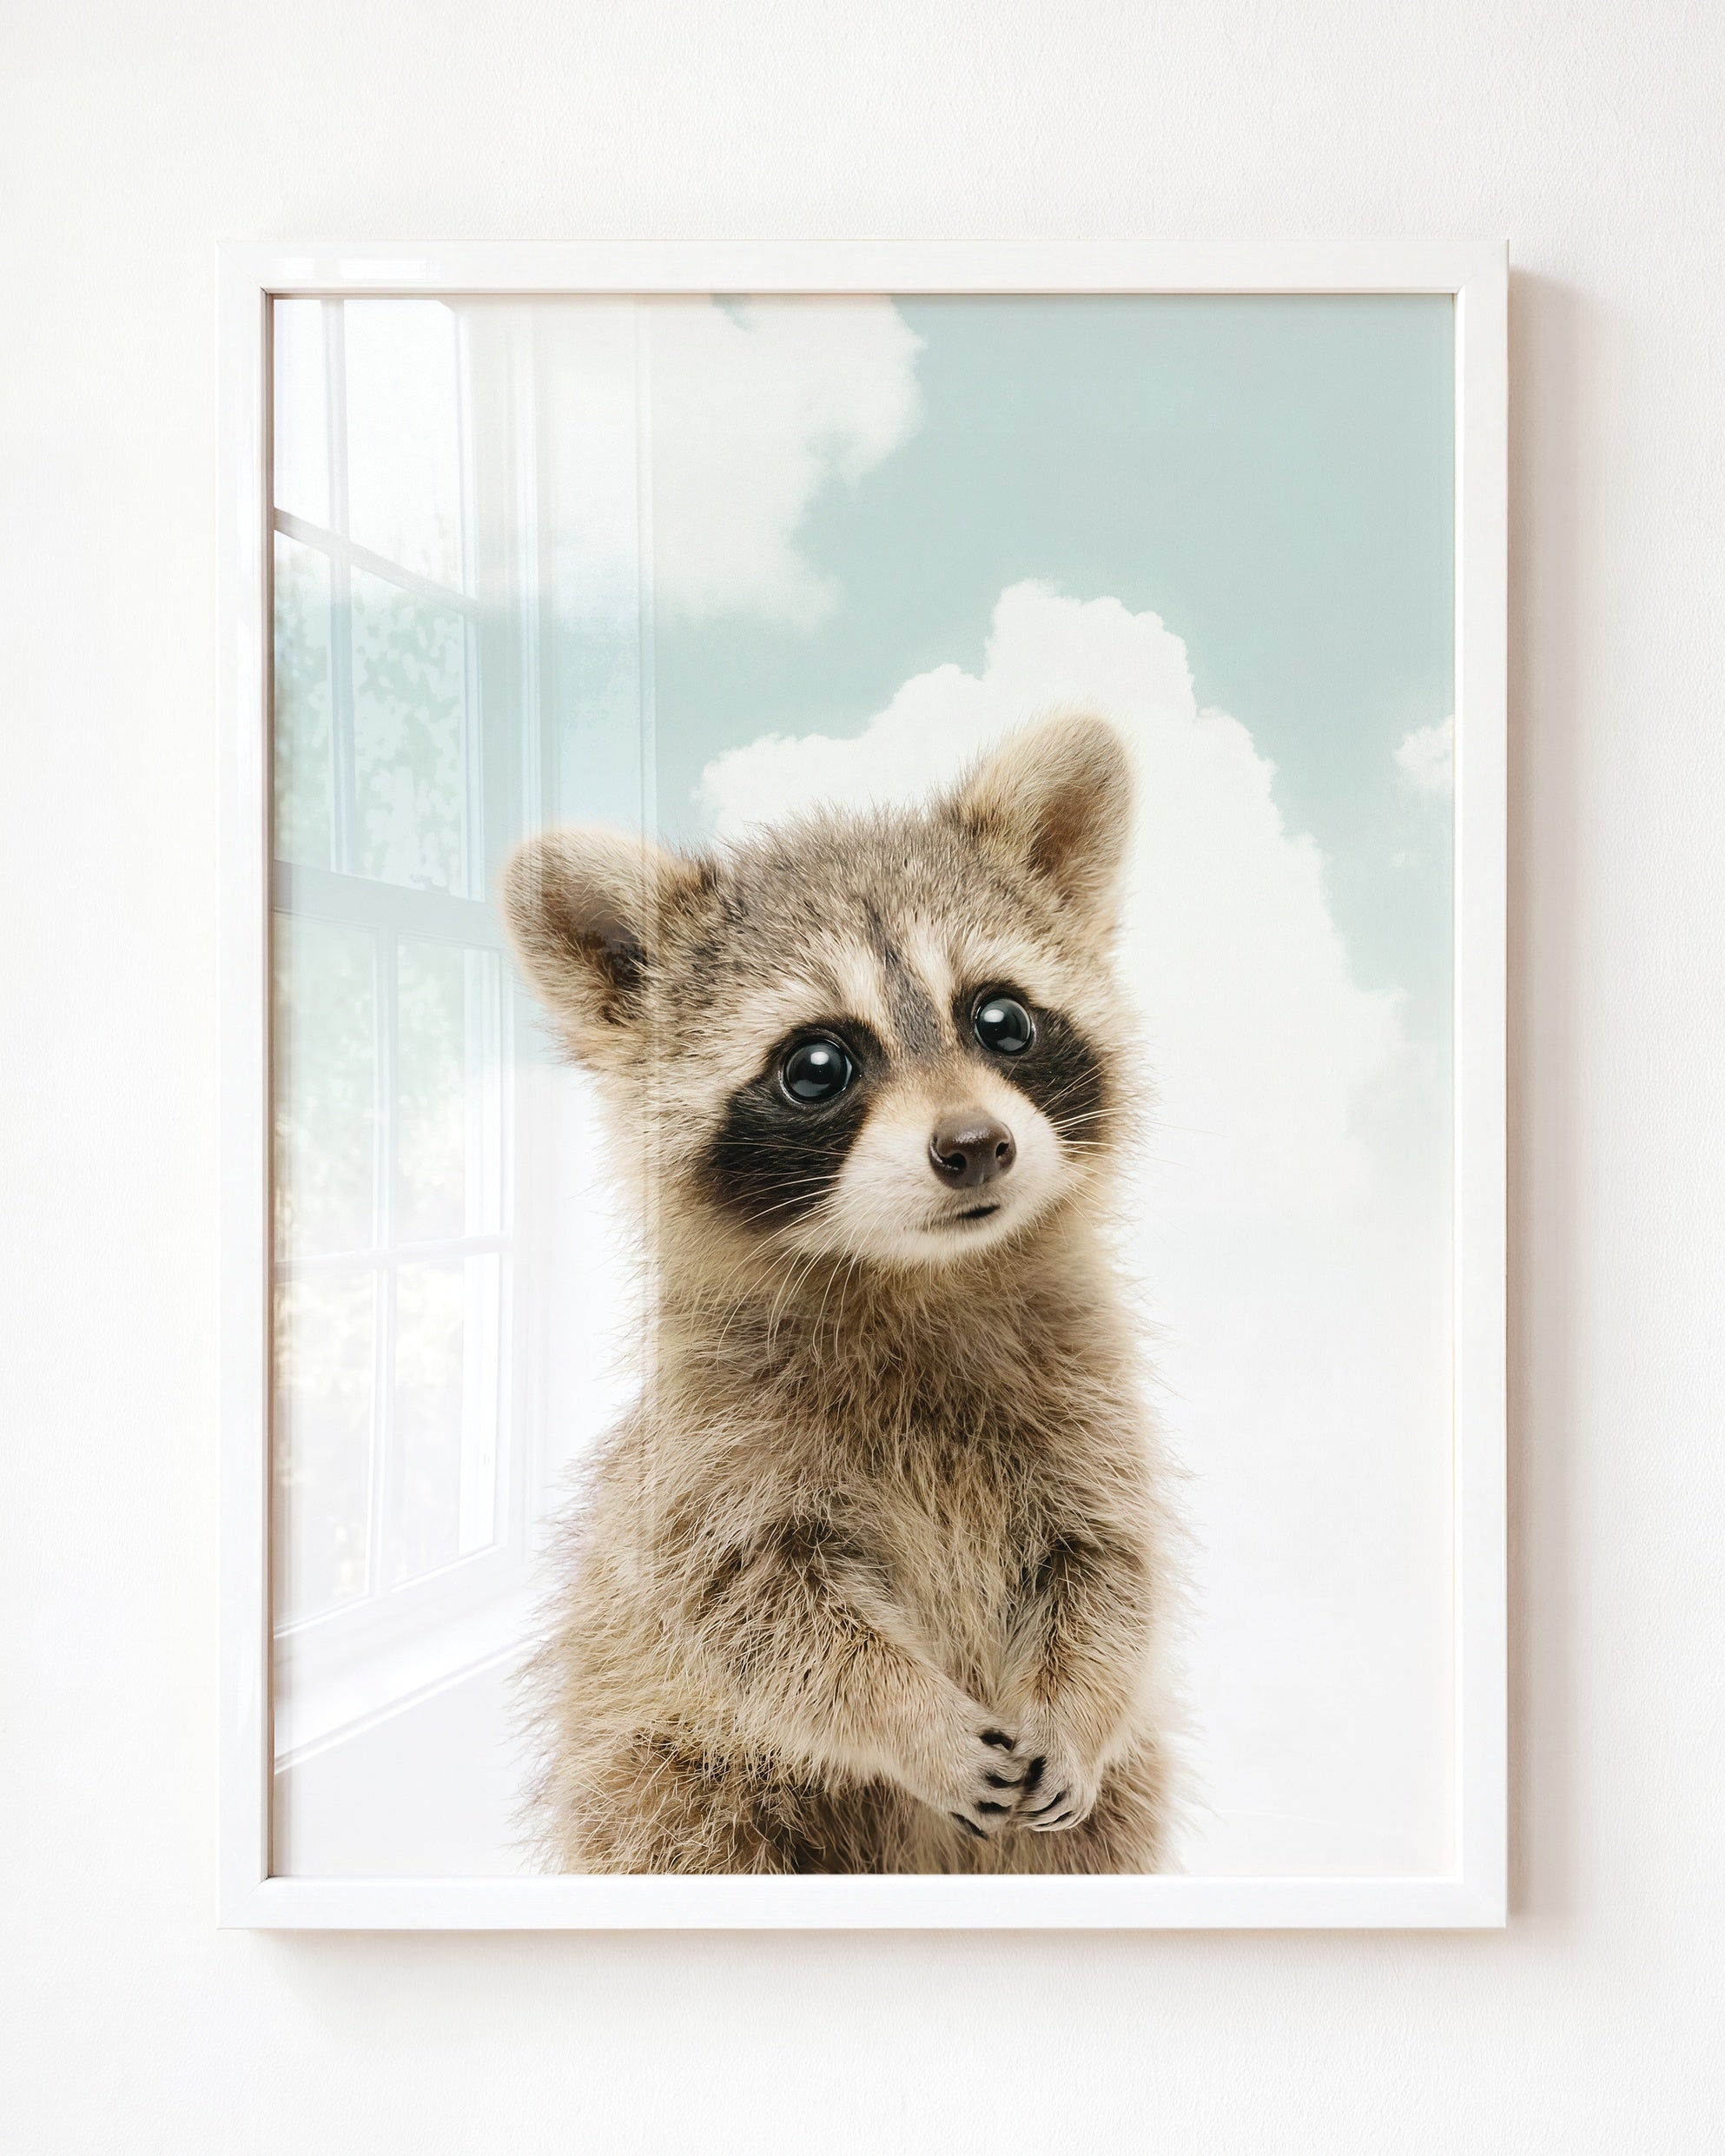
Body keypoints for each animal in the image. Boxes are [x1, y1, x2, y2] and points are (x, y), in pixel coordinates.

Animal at [502, 713, 1182, 1874]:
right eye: (818, 1064)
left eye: (1002, 1019)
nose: (975, 1145)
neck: (918, 1276)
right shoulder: (707, 1459)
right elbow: (760, 1618)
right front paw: (910, 1717)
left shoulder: (1088, 1404)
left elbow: (1109, 1567)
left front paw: (1079, 1703)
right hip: (665, 1776)